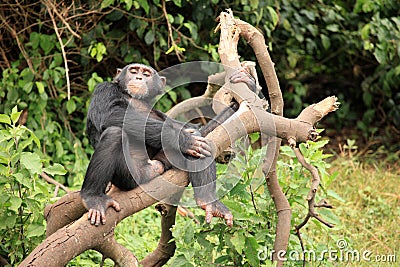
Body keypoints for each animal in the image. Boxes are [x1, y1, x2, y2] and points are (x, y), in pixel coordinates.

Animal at [81, 63, 256, 228]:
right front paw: (184, 140)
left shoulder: (161, 114)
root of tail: (150, 169)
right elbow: (111, 114)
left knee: (199, 142)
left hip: (162, 162)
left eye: (146, 74)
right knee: (114, 134)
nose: (138, 77)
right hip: (128, 177)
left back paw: (208, 201)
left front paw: (248, 85)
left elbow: (196, 129)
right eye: (133, 71)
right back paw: (92, 197)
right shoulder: (103, 89)